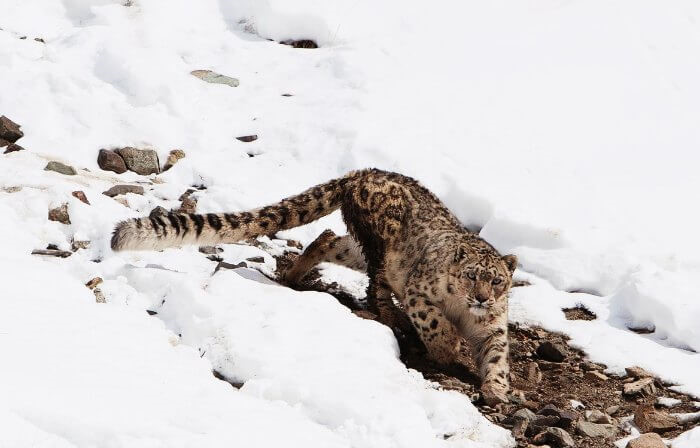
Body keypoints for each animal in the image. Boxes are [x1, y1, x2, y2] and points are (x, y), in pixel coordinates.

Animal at [112, 169, 516, 406]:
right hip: (382, 242)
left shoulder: (493, 326)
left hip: (358, 246)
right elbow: (435, 322)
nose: (481, 298)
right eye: (471, 275)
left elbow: (497, 354)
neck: (464, 311)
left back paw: (295, 274)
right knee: (376, 283)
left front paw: (496, 389)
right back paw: (389, 316)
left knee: (328, 240)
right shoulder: (421, 294)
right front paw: (446, 348)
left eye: (497, 281)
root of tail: (364, 170)